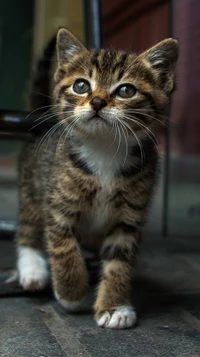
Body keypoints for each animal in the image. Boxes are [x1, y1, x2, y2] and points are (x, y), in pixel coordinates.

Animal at [15, 27, 178, 328]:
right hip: (32, 187)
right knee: (27, 228)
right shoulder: (59, 206)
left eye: (126, 90)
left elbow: (120, 263)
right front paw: (71, 292)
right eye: (81, 86)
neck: (104, 151)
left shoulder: (129, 218)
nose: (98, 102)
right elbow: (64, 249)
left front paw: (114, 307)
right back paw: (32, 270)